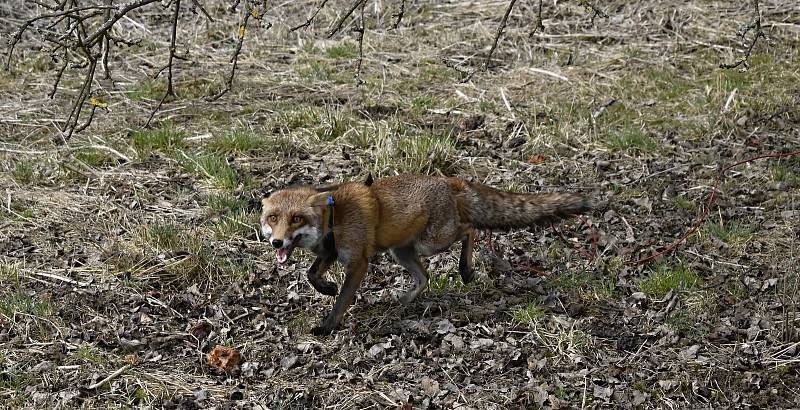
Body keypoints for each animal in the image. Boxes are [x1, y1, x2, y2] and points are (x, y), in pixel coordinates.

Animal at [260, 175, 592, 334]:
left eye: (296, 219)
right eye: (273, 218)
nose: (277, 243)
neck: (334, 217)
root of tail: (448, 179)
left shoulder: (358, 263)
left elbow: (341, 301)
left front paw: (328, 326)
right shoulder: (331, 252)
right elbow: (311, 274)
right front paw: (326, 288)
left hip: (432, 242)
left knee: (469, 229)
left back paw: (465, 269)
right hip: (401, 252)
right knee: (425, 277)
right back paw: (406, 300)